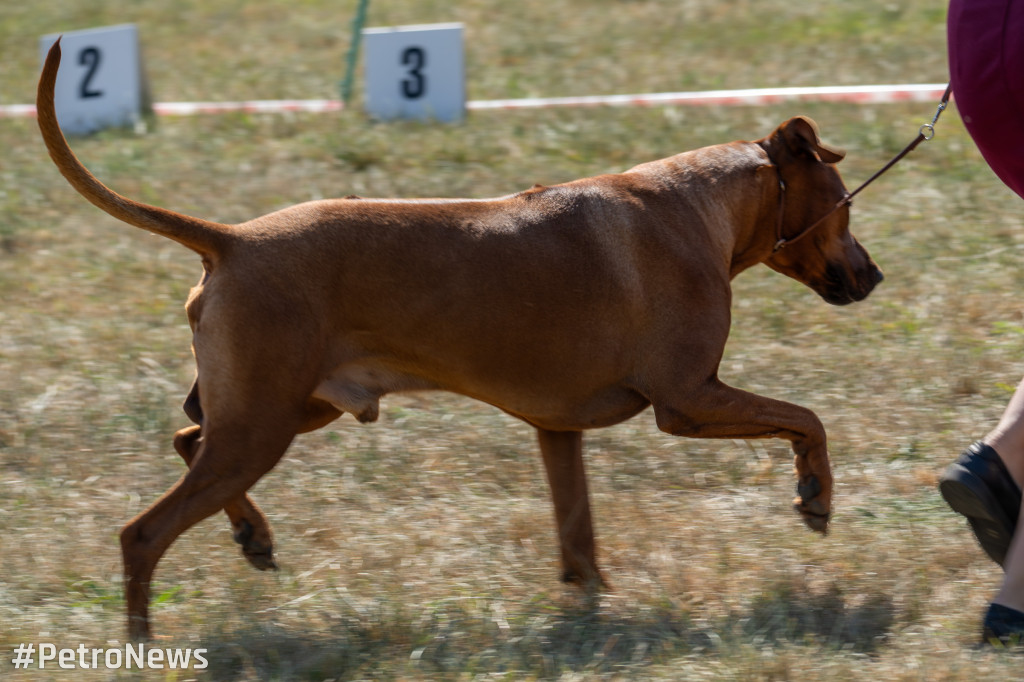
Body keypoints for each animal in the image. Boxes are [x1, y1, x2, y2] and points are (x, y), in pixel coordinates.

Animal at [37, 41, 880, 638]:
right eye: (844, 203)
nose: (873, 276)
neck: (698, 207)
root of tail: (234, 240)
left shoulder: (558, 428)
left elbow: (577, 529)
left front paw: (592, 606)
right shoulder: (688, 401)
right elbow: (808, 418)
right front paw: (815, 495)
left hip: (289, 407)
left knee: (187, 439)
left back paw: (253, 535)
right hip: (262, 423)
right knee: (143, 533)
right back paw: (145, 638)